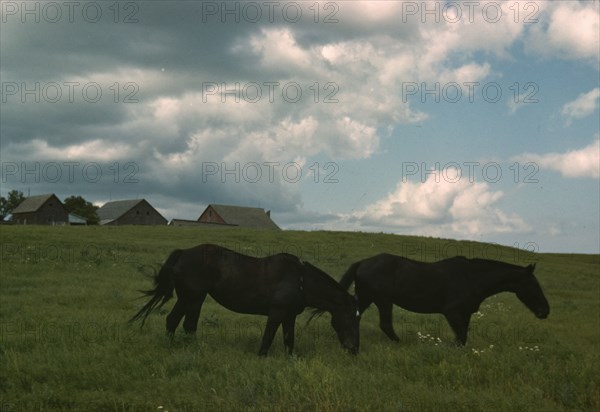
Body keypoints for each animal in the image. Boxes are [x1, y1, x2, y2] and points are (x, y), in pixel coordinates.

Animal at [129, 243, 358, 356]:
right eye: (350, 317)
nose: (354, 350)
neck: (299, 279)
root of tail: (184, 253)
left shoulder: (289, 316)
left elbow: (289, 340)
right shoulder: (277, 312)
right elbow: (267, 338)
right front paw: (261, 358)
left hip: (188, 298)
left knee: (174, 321)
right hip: (194, 298)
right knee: (187, 325)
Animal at [340, 254, 548, 344]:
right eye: (533, 285)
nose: (545, 310)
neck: (472, 278)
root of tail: (362, 262)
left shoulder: (465, 313)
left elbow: (462, 336)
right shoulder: (452, 312)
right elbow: (461, 337)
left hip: (369, 298)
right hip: (382, 300)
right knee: (384, 324)